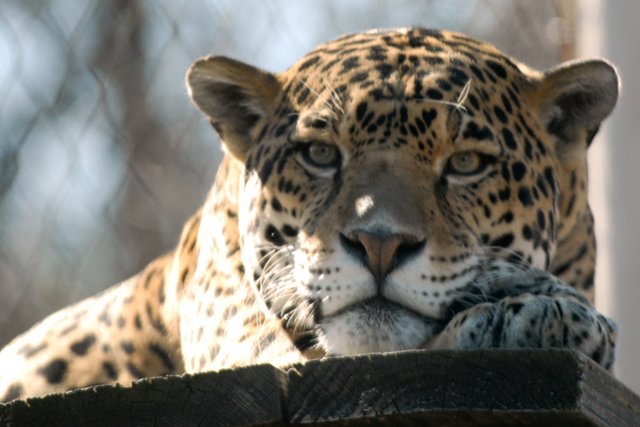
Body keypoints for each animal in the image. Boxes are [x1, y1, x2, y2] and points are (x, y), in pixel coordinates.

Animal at [0, 27, 619, 402]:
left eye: (466, 163)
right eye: (320, 154)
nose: (379, 245)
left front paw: (541, 309)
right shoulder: (243, 336)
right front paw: (538, 314)